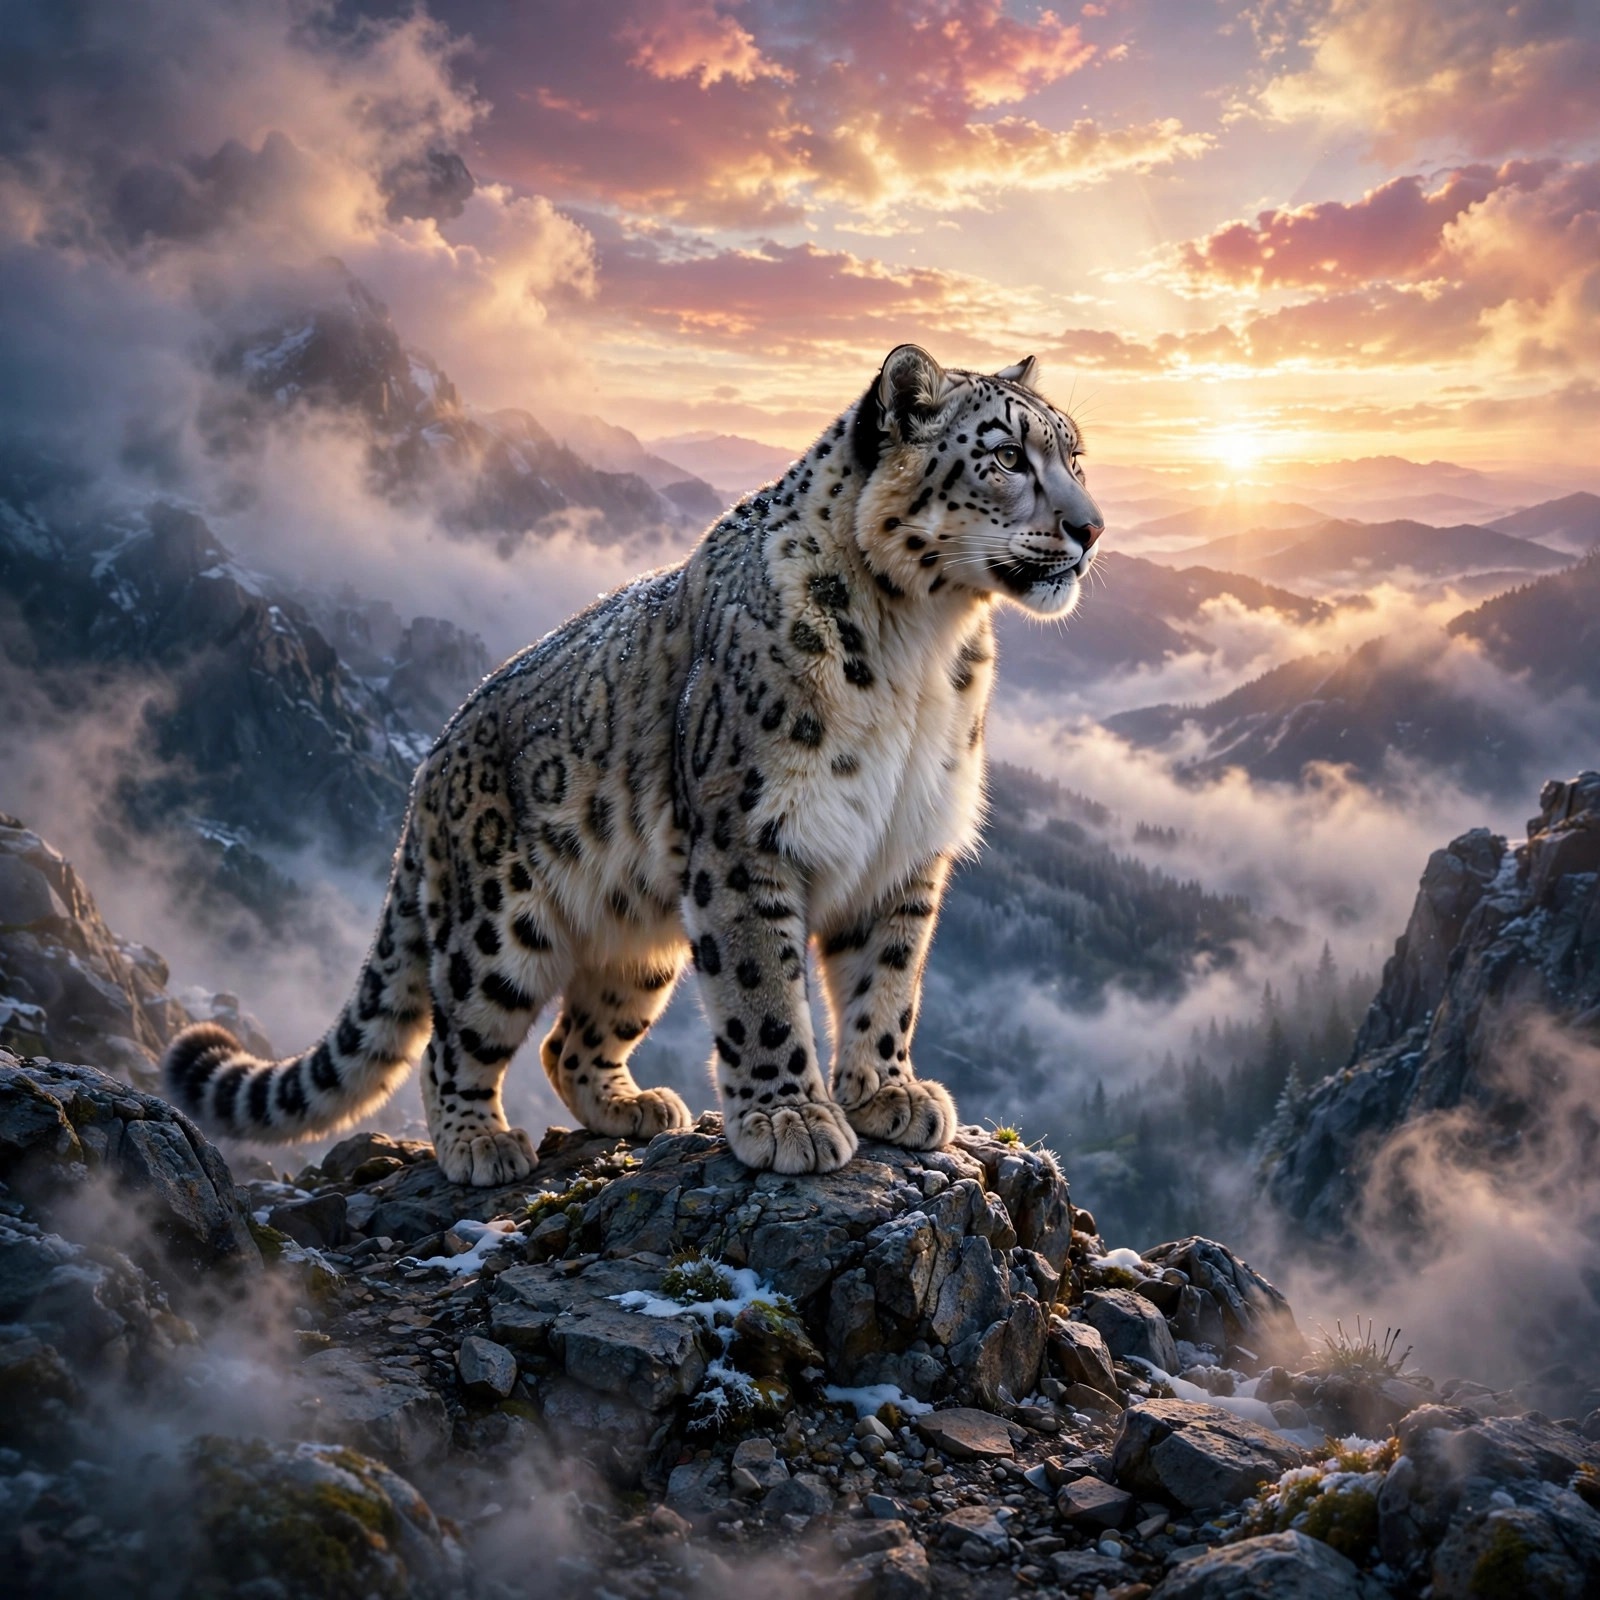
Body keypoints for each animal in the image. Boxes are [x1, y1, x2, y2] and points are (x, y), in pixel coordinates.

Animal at [163, 344, 1104, 1185]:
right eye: (1007, 456)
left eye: (1075, 454)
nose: (1091, 527)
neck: (922, 649)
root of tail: (430, 768)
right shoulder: (748, 838)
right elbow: (764, 987)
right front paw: (789, 1119)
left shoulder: (905, 845)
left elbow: (888, 982)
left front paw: (886, 1094)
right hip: (498, 923)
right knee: (456, 1033)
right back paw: (478, 1144)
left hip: (640, 941)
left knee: (568, 1040)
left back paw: (633, 1107)